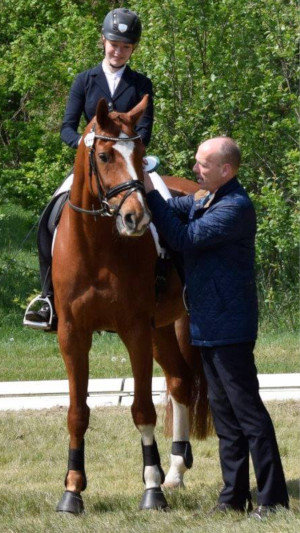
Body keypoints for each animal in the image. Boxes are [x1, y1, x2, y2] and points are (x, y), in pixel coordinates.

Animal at [52, 94, 210, 512]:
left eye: (139, 153)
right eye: (104, 155)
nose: (135, 217)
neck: (97, 246)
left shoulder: (135, 329)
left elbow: (142, 409)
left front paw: (151, 487)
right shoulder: (72, 335)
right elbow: (77, 412)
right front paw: (72, 490)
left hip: (172, 326)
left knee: (184, 384)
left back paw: (171, 472)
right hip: (161, 329)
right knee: (179, 379)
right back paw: (175, 471)